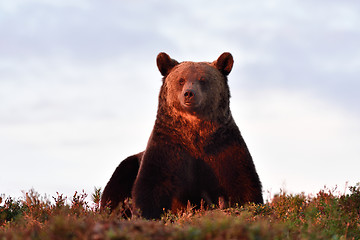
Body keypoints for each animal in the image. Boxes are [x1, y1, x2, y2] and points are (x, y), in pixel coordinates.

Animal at [100, 52, 262, 219]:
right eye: (181, 80)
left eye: (203, 79)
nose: (189, 93)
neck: (195, 134)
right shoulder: (168, 147)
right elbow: (151, 184)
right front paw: (145, 214)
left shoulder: (224, 146)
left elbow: (242, 182)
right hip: (128, 165)